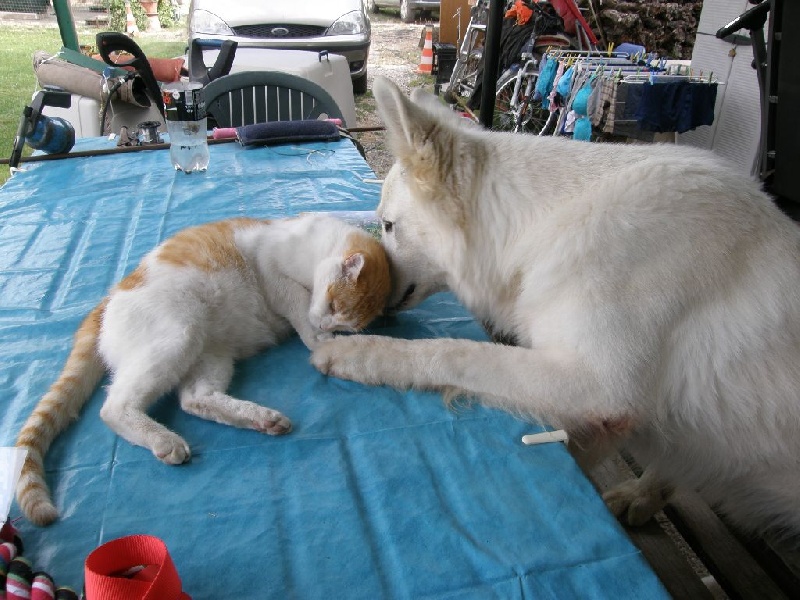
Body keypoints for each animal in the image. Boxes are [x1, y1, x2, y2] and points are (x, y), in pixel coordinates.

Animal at [15, 214, 390, 524]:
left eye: (343, 320)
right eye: (333, 305)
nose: (326, 324)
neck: (312, 245)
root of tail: (105, 302)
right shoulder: (275, 274)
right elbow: (296, 303)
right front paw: (317, 338)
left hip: (211, 354)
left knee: (195, 399)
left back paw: (263, 419)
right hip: (178, 336)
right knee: (114, 407)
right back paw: (164, 440)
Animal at [310, 76, 800, 540]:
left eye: (389, 226)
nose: (371, 305)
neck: (544, 223)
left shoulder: (598, 388)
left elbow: (454, 352)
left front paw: (359, 353)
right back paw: (643, 494)